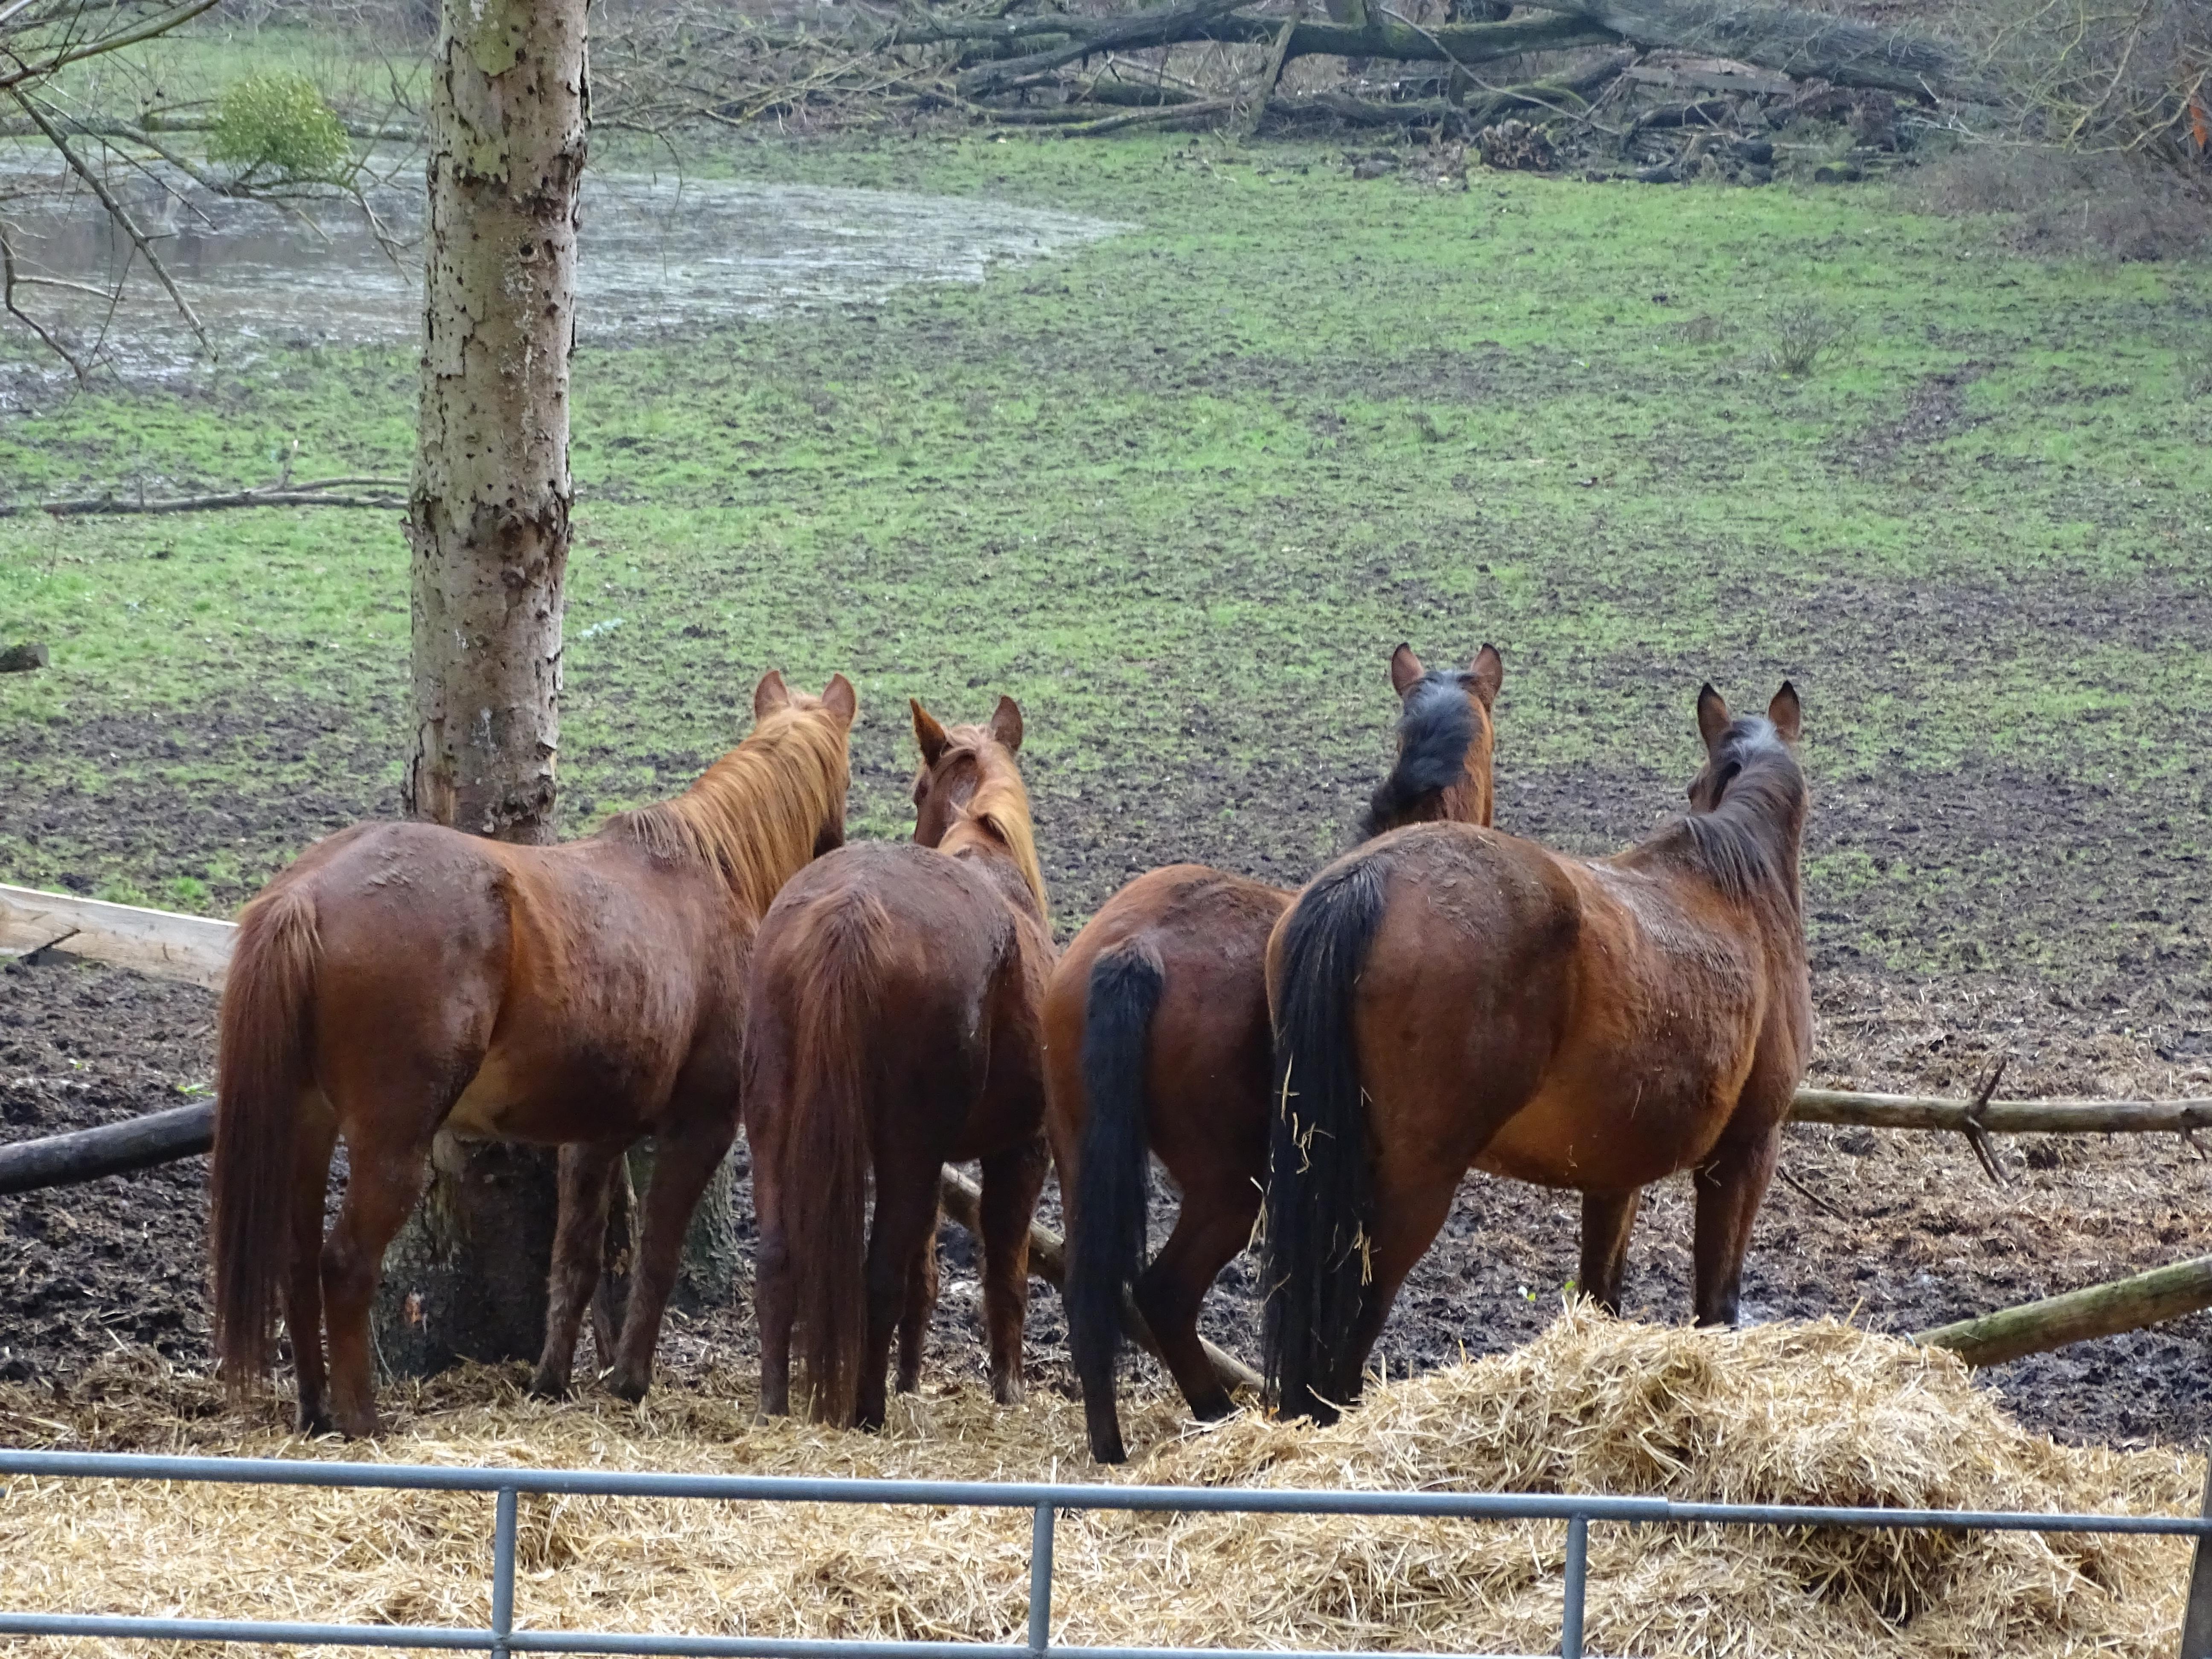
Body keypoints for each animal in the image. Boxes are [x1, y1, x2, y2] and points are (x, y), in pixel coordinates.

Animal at [208, 677, 858, 1442]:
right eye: (848, 776)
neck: (710, 874)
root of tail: (305, 893)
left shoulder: (593, 1138)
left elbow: (579, 1261)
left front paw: (553, 1378)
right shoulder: (699, 1126)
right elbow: (657, 1257)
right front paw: (630, 1380)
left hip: (307, 1123)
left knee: (297, 1258)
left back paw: (315, 1410)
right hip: (391, 1141)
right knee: (344, 1264)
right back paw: (362, 1418)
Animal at [743, 690, 1053, 1433]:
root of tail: (852, 913)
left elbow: (925, 1271)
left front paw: (912, 1377)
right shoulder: (1020, 1148)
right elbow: (1005, 1270)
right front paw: (1008, 1387)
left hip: (775, 1126)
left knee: (778, 1261)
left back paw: (776, 1403)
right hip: (907, 1147)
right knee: (877, 1273)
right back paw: (866, 1410)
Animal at [1039, 650, 1495, 1469]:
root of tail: (1134, 951)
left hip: (1081, 1160)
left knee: (1093, 1297)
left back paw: (1113, 1446)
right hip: (1229, 1188)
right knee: (1163, 1292)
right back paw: (1216, 1411)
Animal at [1265, 681, 1813, 1424]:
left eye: (1694, 784)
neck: (1739, 889)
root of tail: (1368, 879)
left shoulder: (1615, 1178)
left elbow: (1601, 1294)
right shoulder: (1744, 1156)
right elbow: (1715, 1306)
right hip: (1405, 1198)